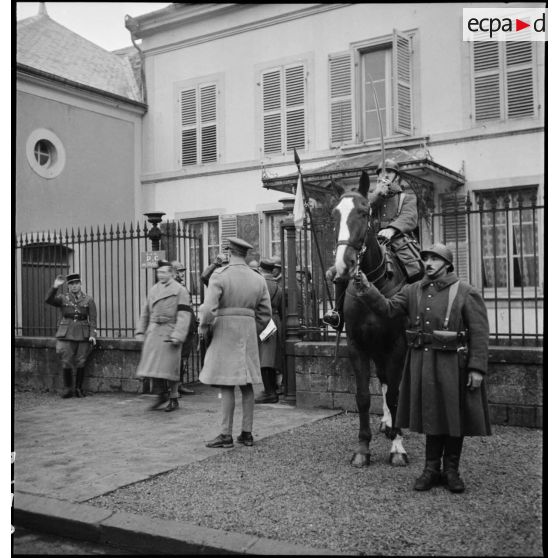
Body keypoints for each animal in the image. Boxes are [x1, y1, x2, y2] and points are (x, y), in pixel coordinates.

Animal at [332, 171, 416, 468]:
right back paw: (387, 424)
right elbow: (364, 396)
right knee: (383, 380)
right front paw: (363, 448)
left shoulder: (397, 345)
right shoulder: (358, 346)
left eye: (363, 211)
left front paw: (398, 447)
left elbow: (394, 394)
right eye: (334, 214)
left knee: (395, 386)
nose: (342, 265)